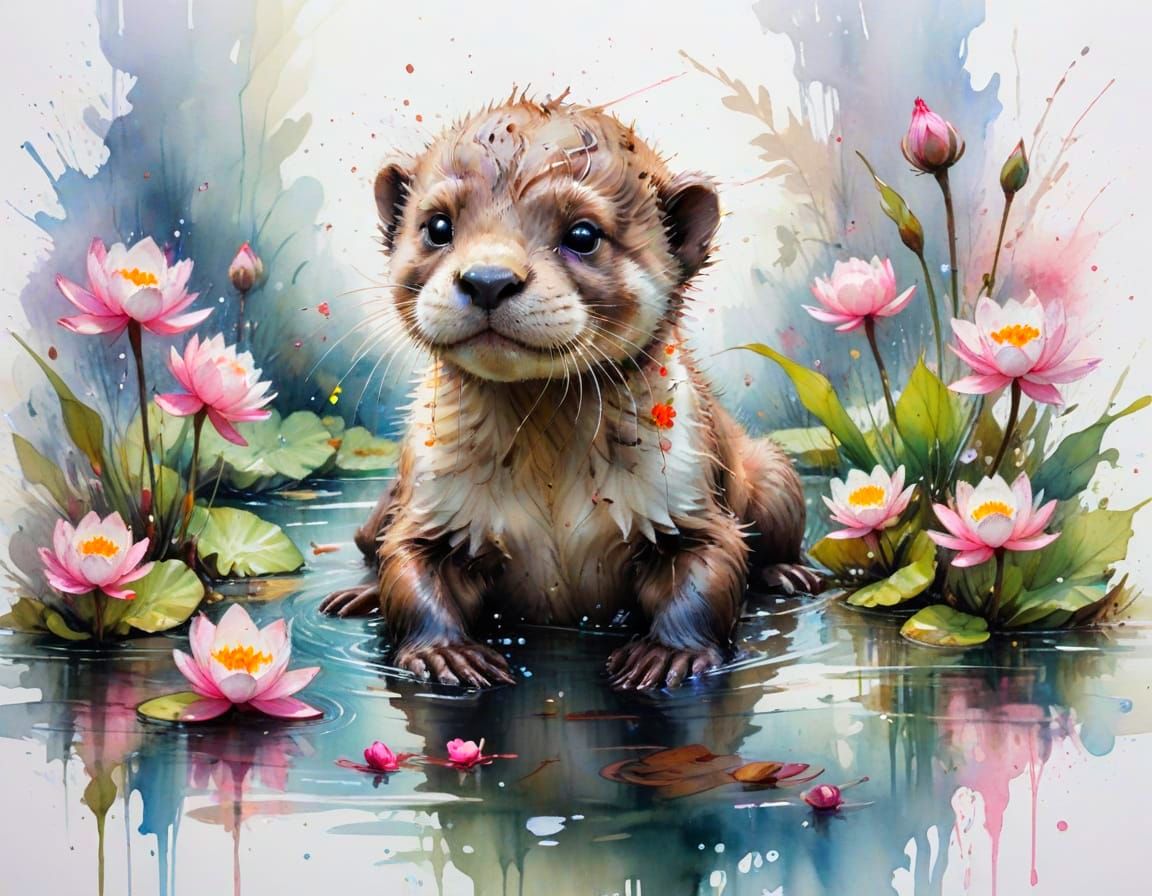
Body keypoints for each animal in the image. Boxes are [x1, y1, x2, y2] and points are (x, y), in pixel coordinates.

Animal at [320, 92, 818, 689]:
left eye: (582, 235)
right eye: (438, 226)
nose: (488, 279)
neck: (551, 481)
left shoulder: (688, 497)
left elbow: (710, 572)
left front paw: (669, 655)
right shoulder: (432, 504)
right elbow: (408, 567)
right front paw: (444, 654)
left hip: (774, 477)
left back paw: (788, 573)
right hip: (392, 495)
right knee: (371, 543)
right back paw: (357, 595)